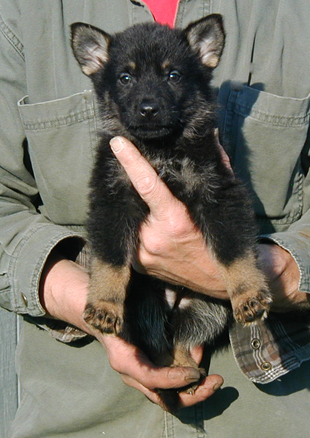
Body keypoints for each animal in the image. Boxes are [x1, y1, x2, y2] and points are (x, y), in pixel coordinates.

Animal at [71, 15, 272, 408]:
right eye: (125, 77)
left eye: (173, 75)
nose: (148, 109)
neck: (159, 149)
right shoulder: (112, 197)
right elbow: (110, 257)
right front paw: (103, 302)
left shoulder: (217, 191)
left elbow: (233, 250)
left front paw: (248, 292)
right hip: (144, 304)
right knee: (157, 345)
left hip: (205, 309)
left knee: (179, 339)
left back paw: (186, 375)